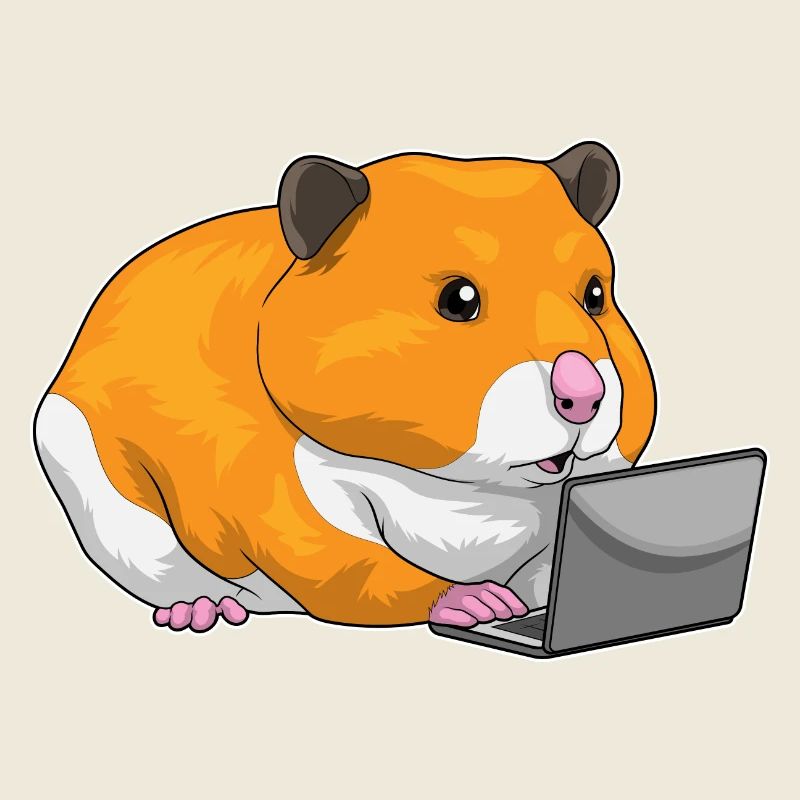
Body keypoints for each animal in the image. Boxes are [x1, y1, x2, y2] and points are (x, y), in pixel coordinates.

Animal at [34, 142, 656, 632]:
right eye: (458, 299)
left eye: (595, 295)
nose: (584, 394)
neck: (471, 494)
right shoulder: (275, 480)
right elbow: (337, 556)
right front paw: (476, 602)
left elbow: (560, 557)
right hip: (79, 454)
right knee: (152, 553)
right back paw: (203, 609)